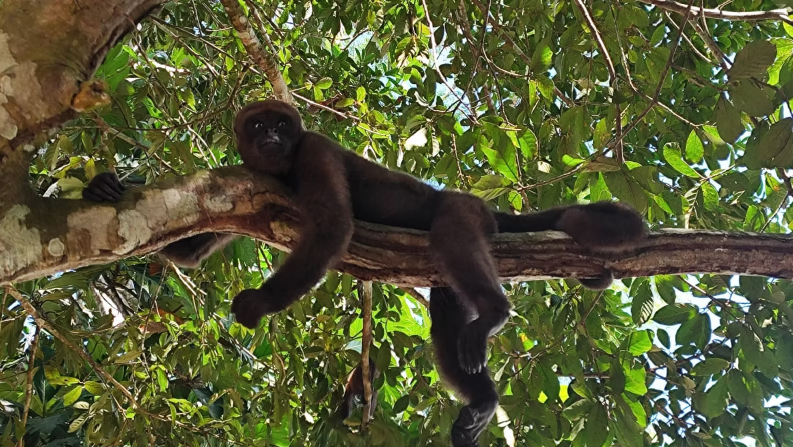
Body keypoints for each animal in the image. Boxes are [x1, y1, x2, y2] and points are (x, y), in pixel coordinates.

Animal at [83, 99, 646, 447]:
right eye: (260, 126)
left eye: (282, 126)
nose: (272, 136)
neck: (282, 167)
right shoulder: (243, 182)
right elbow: (191, 250)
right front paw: (103, 187)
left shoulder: (313, 150)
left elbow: (334, 228)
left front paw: (259, 304)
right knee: (447, 315)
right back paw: (484, 397)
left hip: (467, 211)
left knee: (451, 232)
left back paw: (493, 312)